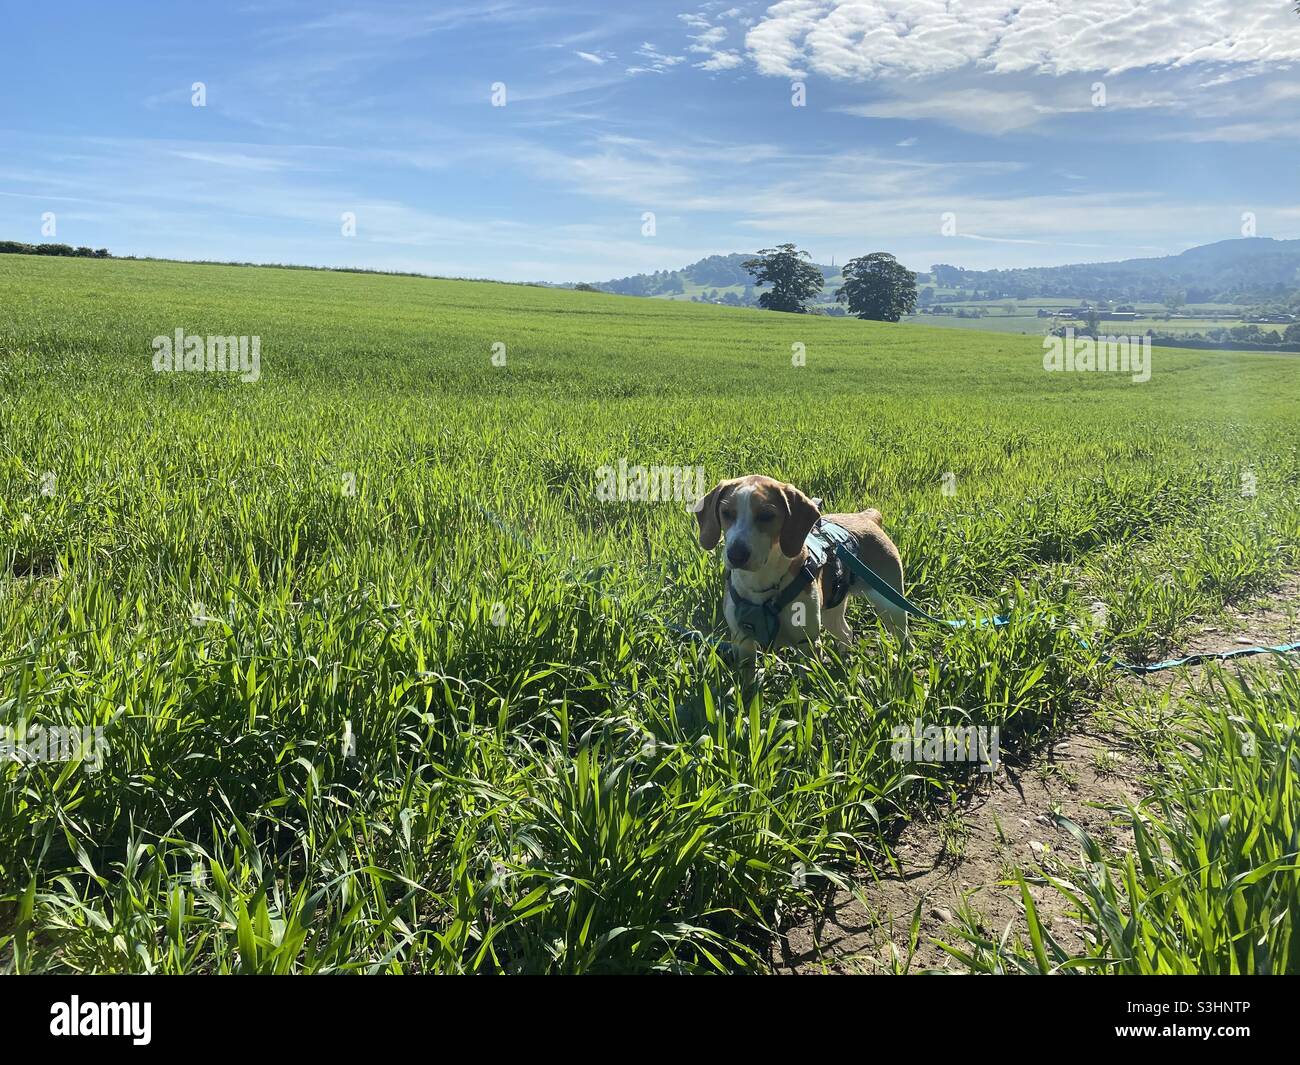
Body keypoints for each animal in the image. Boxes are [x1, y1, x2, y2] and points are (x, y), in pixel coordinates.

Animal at [696, 473, 899, 652]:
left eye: (766, 515)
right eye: (726, 513)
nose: (736, 555)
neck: (761, 581)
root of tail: (865, 517)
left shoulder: (808, 643)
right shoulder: (742, 643)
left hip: (891, 606)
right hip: (832, 609)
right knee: (846, 633)